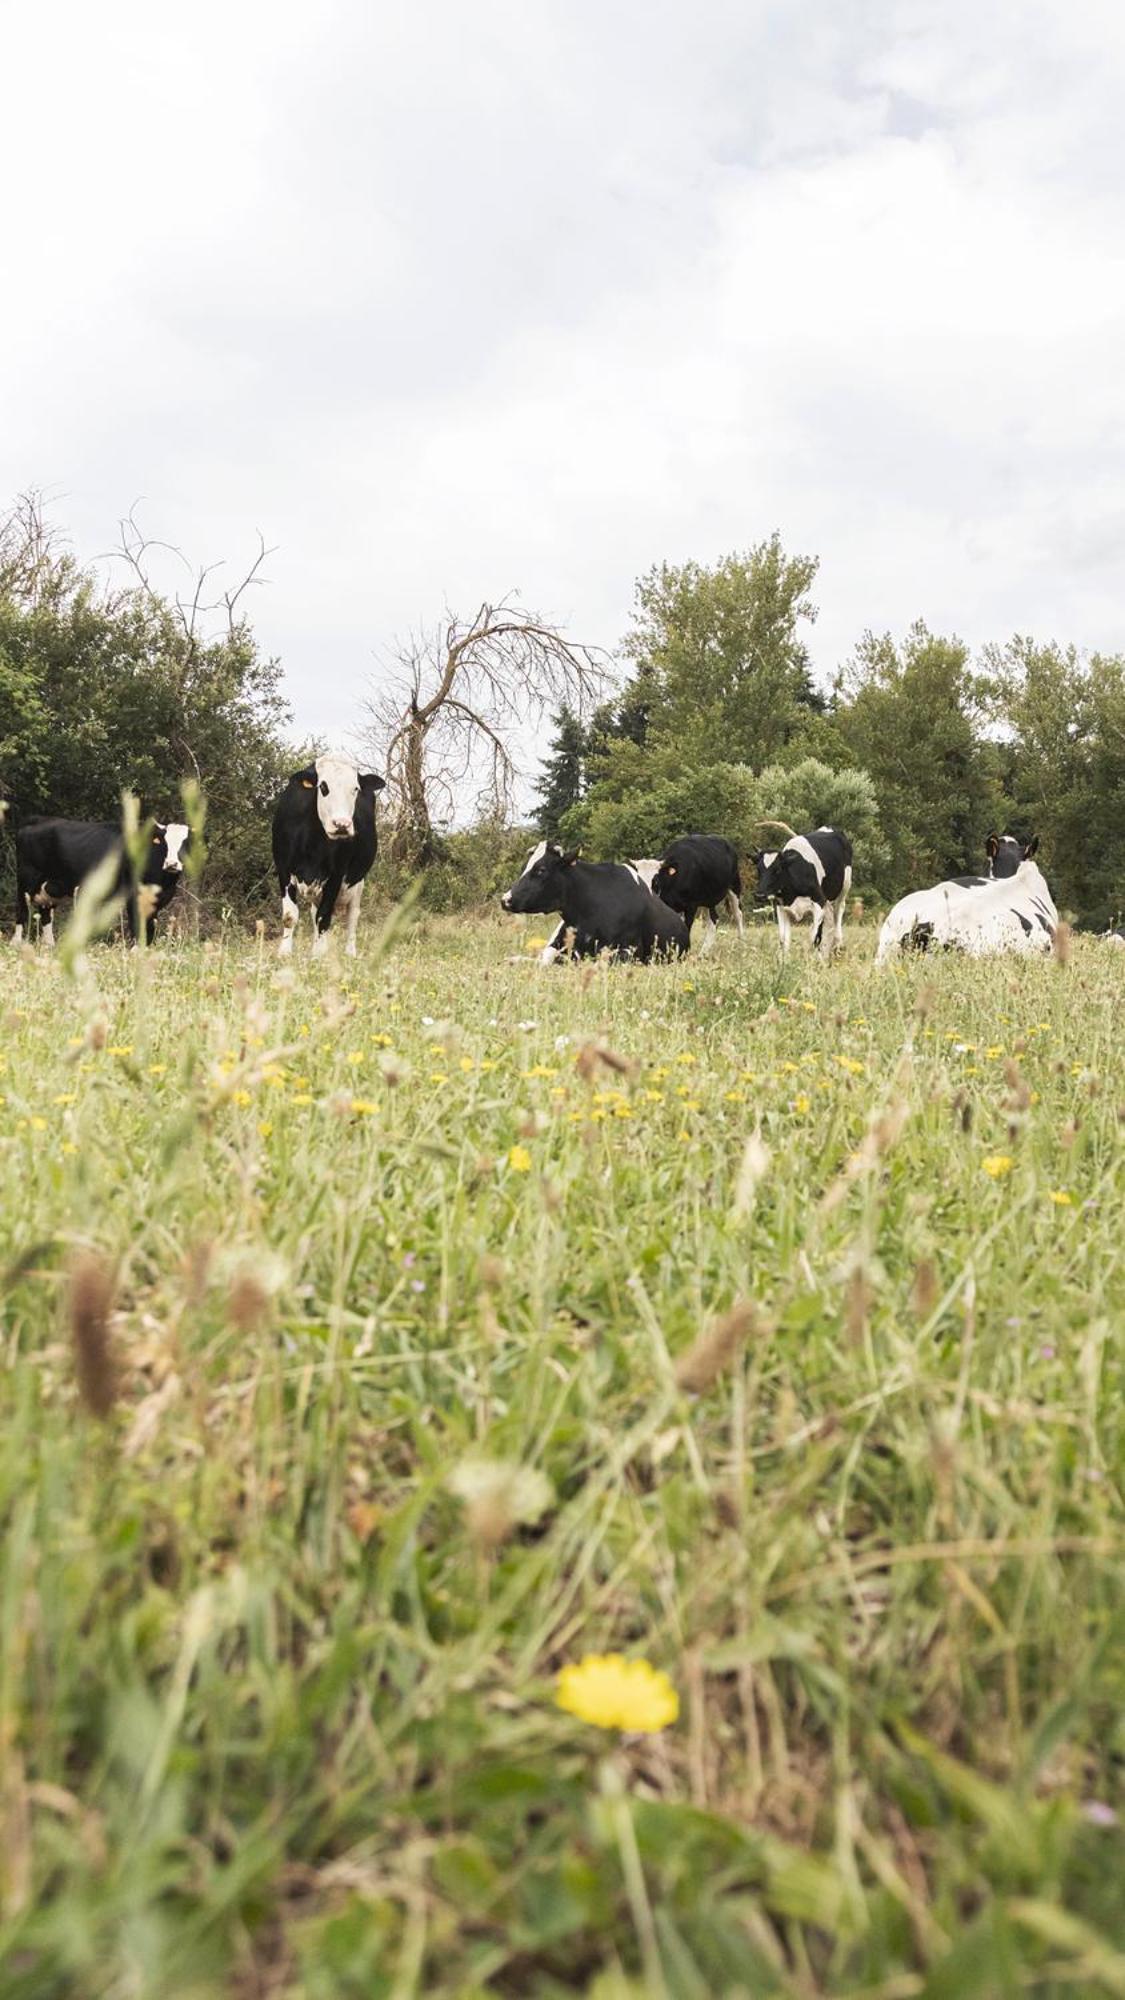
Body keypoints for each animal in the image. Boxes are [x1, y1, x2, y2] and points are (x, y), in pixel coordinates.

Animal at [14, 812, 190, 944]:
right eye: (164, 843)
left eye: (185, 843)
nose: (171, 864)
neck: (165, 882)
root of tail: (38, 819)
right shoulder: (133, 895)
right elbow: (137, 924)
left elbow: (150, 927)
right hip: (26, 881)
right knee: (22, 912)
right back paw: (16, 943)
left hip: (51, 887)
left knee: (45, 915)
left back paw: (49, 945)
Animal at [270, 756, 384, 960]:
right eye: (323, 786)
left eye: (355, 788)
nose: (342, 824)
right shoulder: (283, 868)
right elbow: (290, 915)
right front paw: (285, 952)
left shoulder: (336, 876)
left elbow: (324, 917)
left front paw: (318, 956)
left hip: (358, 881)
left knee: (352, 916)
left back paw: (349, 952)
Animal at [744, 824, 848, 956]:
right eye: (758, 869)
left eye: (778, 869)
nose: (759, 895)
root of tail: (829, 828)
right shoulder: (782, 906)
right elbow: (783, 939)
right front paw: (785, 958)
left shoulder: (819, 901)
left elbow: (813, 936)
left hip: (844, 886)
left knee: (838, 911)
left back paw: (838, 945)